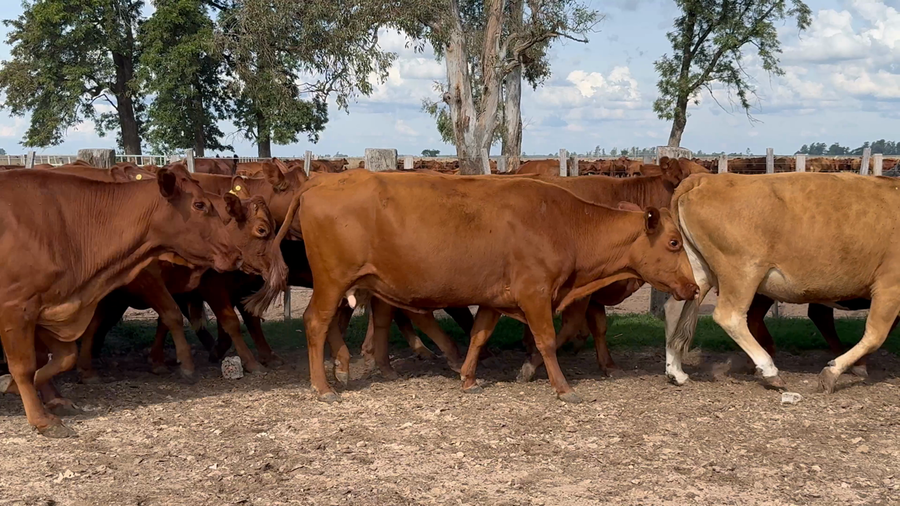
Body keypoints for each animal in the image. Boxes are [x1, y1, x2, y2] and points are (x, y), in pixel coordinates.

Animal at [0, 165, 248, 436]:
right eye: (199, 204)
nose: (236, 254)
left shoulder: (51, 308)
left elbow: (62, 357)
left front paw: (38, 395)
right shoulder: (16, 309)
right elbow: (25, 367)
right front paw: (40, 417)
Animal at [295, 169, 698, 403]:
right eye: (674, 243)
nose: (693, 287)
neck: (565, 224)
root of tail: (320, 181)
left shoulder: (494, 299)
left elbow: (479, 335)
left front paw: (468, 377)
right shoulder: (536, 295)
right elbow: (547, 340)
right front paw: (562, 387)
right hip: (332, 281)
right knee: (316, 322)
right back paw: (324, 386)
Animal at [664, 171, 900, 393]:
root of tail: (706, 179)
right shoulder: (889, 285)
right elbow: (875, 335)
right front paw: (834, 372)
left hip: (697, 270)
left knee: (675, 307)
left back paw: (676, 371)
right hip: (743, 273)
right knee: (729, 316)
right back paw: (769, 370)